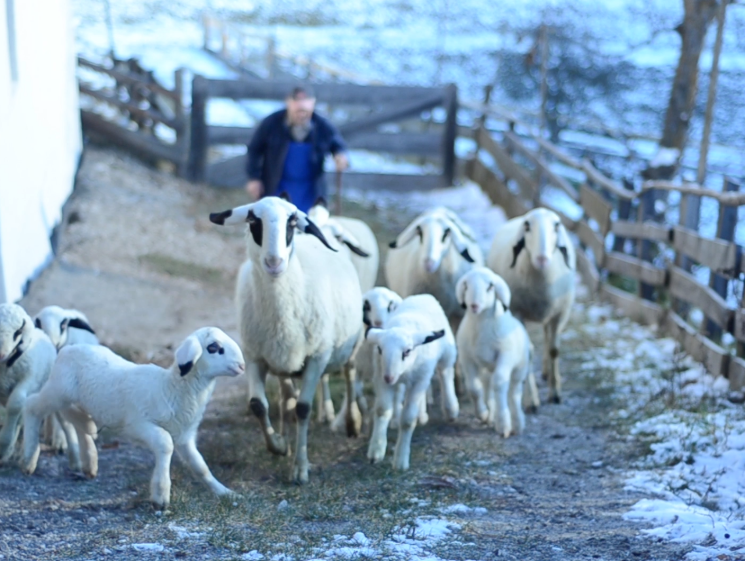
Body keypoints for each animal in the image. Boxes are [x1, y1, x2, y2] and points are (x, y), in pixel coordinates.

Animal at [22, 327, 244, 510]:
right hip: (58, 390)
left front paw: (226, 493)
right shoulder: (138, 424)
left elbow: (200, 466)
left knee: (74, 418)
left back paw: (89, 460)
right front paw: (161, 497)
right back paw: (28, 459)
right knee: (32, 406)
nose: (241, 366)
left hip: (74, 397)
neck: (170, 387)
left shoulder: (184, 436)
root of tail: (68, 349)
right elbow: (165, 444)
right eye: (214, 347)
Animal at [209, 196, 362, 484]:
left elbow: (303, 408)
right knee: (285, 397)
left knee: (349, 373)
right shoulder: (254, 355)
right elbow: (258, 405)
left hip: (348, 343)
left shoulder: (316, 357)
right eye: (253, 220)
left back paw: (352, 422)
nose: (274, 262)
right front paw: (278, 445)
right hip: (283, 359)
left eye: (291, 222)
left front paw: (300, 469)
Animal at [365, 294, 459, 471]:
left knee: (445, 374)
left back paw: (451, 410)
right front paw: (376, 451)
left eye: (407, 351)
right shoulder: (380, 377)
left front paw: (400, 461)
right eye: (380, 349)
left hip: (445, 356)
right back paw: (422, 415)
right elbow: (382, 411)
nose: (389, 378)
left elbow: (408, 420)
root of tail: (423, 295)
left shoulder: (420, 379)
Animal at [455, 267, 535, 437]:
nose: (474, 305)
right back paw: (491, 415)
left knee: (513, 393)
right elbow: (473, 388)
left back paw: (517, 423)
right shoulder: (467, 358)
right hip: (487, 368)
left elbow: (500, 383)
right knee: (488, 387)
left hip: (519, 369)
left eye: (490, 287)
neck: (480, 326)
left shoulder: (505, 356)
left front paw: (504, 424)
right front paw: (482, 414)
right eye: (466, 285)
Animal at [486, 207, 576, 404]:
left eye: (556, 226)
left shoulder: (560, 313)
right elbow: (527, 351)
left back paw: (548, 373)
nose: (542, 259)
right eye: (527, 227)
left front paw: (555, 392)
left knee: (547, 336)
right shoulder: (517, 312)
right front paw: (531, 400)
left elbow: (554, 350)